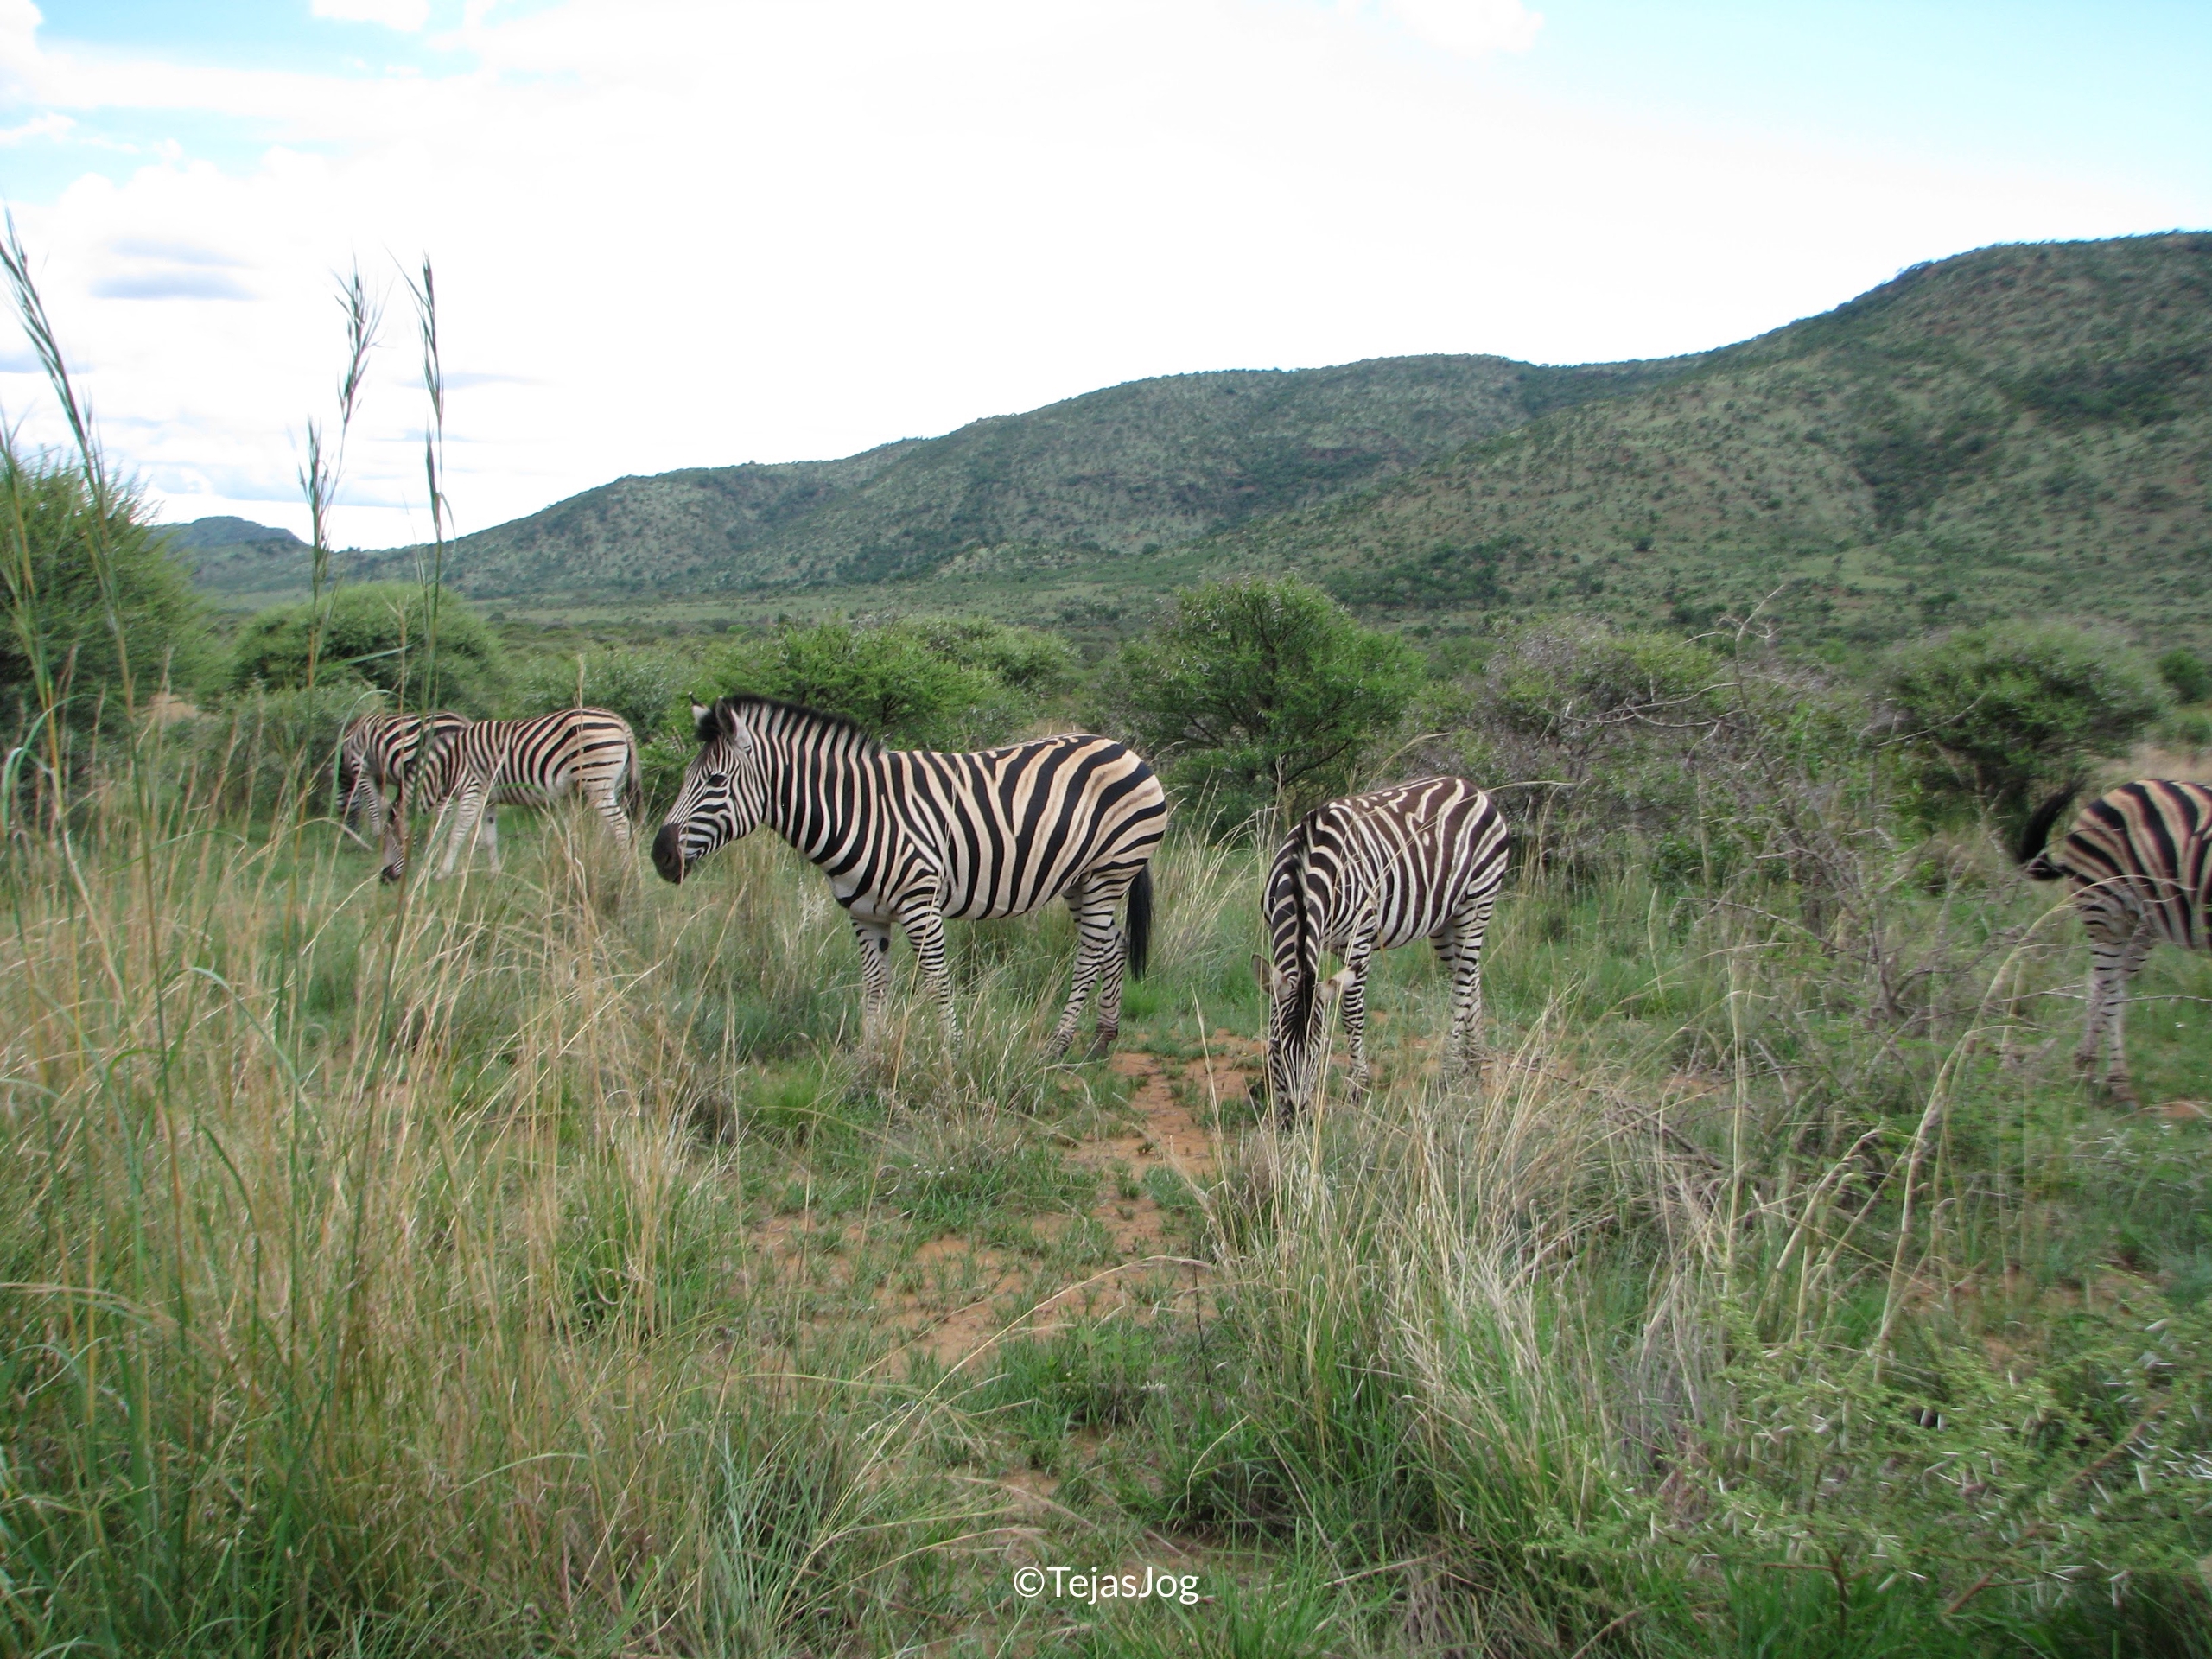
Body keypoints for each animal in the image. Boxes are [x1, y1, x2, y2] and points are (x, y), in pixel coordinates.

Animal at [335, 710, 471, 883]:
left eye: (341, 810)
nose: (349, 836)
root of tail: (463, 721)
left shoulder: (361, 768)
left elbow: (373, 804)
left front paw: (378, 836)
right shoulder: (381, 777)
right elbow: (384, 804)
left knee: (444, 812)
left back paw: (435, 843)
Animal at [427, 706, 643, 879]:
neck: (450, 765)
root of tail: (619, 721)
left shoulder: (473, 789)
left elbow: (454, 831)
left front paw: (442, 872)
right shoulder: (489, 798)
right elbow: (489, 836)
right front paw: (494, 873)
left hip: (596, 779)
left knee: (621, 825)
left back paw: (625, 873)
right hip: (612, 784)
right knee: (609, 829)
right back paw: (607, 865)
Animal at [652, 696, 1166, 1056]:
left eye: (716, 782)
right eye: (688, 775)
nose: (661, 856)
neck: (858, 812)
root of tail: (1122, 748)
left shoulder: (921, 905)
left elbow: (936, 980)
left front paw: (952, 1053)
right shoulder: (864, 915)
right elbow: (875, 984)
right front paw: (868, 1058)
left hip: (1109, 871)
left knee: (1091, 953)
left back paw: (1059, 1045)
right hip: (1081, 881)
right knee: (1113, 944)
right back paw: (1101, 1039)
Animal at [1253, 776, 1509, 1119]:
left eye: (1319, 1053)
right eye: (1276, 1048)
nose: (1294, 1118)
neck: (1303, 866)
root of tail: (1471, 787)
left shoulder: (1359, 942)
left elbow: (1353, 1015)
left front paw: (1357, 1088)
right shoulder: (1278, 933)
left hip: (1478, 901)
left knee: (1463, 984)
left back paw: (1449, 1071)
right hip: (1445, 920)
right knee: (1471, 977)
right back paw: (1474, 1060)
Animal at [2019, 778, 2212, 1103]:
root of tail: (2118, 790)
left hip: (2144, 923)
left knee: (2101, 980)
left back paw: (2085, 1067)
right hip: (2107, 912)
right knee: (2111, 989)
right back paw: (2118, 1083)